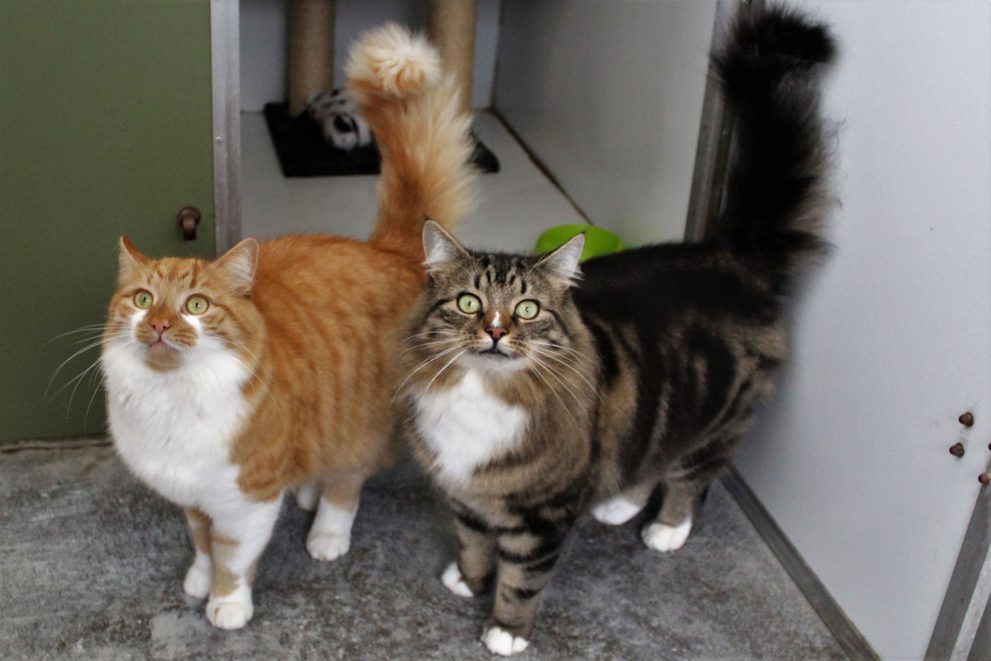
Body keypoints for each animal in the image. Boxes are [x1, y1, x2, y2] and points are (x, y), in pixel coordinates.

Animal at [102, 25, 474, 632]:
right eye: (142, 299)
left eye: (197, 305)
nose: (157, 324)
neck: (172, 397)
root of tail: (384, 248)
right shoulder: (192, 496)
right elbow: (201, 544)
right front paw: (198, 579)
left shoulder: (246, 498)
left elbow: (232, 557)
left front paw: (226, 605)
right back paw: (305, 491)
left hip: (359, 425)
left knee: (348, 483)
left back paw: (326, 532)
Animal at [400, 9, 832, 656]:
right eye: (470, 303)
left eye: (527, 309)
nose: (497, 332)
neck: (481, 397)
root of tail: (734, 257)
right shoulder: (466, 499)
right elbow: (473, 546)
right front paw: (467, 581)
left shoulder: (541, 518)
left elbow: (521, 581)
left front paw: (505, 631)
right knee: (650, 457)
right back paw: (621, 505)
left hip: (719, 419)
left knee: (693, 477)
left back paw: (666, 531)